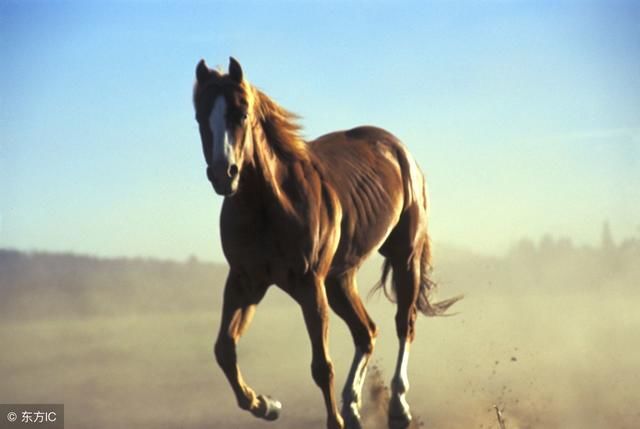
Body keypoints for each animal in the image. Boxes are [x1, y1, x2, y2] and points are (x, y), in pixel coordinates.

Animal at [190, 57, 460, 428]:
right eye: (200, 116)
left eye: (241, 113)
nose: (223, 174)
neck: (271, 205)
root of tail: (399, 150)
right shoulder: (246, 283)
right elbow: (224, 350)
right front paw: (267, 404)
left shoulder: (309, 285)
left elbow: (322, 366)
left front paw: (330, 418)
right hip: (339, 279)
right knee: (367, 332)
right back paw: (353, 406)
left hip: (402, 259)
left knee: (403, 324)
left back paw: (397, 408)